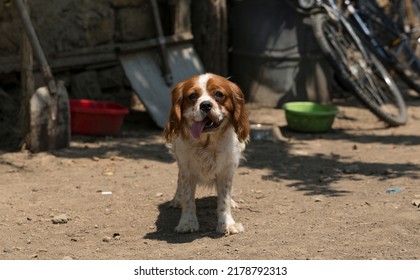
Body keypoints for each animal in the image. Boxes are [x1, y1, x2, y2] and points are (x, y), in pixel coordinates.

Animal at [164, 72, 249, 234]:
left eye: (219, 94)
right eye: (192, 96)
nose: (205, 105)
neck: (206, 143)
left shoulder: (227, 169)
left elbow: (224, 199)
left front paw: (227, 224)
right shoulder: (186, 168)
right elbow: (188, 198)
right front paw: (187, 223)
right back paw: (177, 200)